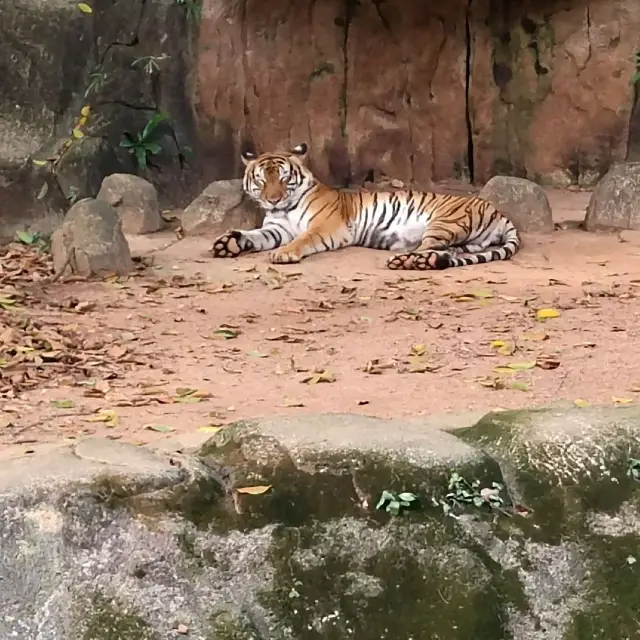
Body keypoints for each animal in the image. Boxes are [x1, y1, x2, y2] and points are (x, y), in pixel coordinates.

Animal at [210, 143, 520, 270]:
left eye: (284, 178)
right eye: (262, 180)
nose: (273, 199)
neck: (284, 209)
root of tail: (499, 213)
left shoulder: (326, 226)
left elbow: (302, 239)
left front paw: (283, 254)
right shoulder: (277, 228)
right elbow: (254, 236)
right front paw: (228, 243)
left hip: (443, 223)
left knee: (429, 248)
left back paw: (404, 260)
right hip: (465, 243)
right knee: (444, 253)